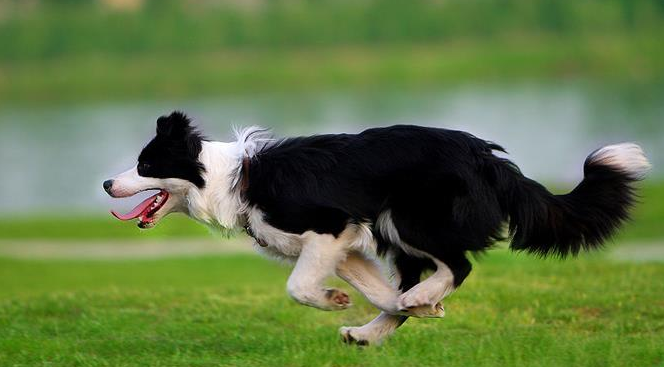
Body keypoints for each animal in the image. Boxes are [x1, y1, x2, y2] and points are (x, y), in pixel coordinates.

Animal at [102, 110, 648, 346]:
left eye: (145, 164)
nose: (107, 183)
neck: (228, 177)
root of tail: (488, 158)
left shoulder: (328, 225)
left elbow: (298, 286)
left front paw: (335, 300)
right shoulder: (345, 248)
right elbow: (375, 290)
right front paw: (413, 310)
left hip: (406, 218)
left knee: (459, 264)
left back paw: (415, 299)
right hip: (395, 232)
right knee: (413, 283)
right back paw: (373, 331)